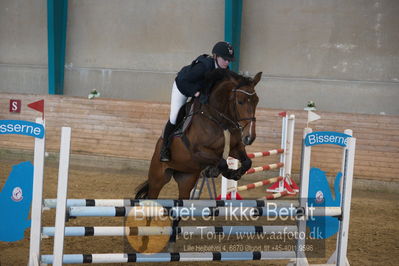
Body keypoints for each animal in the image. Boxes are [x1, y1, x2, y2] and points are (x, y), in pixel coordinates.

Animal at [136, 68, 264, 200]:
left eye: (256, 101)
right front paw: (225, 172)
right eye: (240, 102)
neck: (218, 119)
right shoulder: (199, 152)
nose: (250, 137)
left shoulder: (234, 148)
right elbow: (222, 163)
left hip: (186, 178)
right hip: (158, 177)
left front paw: (235, 174)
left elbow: (247, 162)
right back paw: (164, 154)